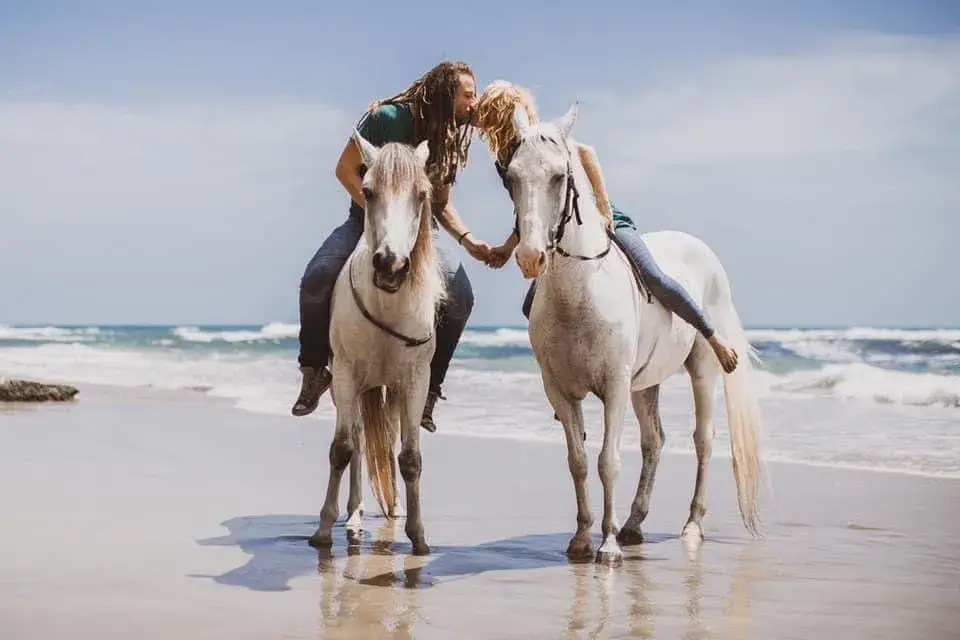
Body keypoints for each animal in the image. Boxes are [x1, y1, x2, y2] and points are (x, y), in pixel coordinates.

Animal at [307, 129, 446, 556]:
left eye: (422, 193)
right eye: (367, 191)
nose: (391, 265)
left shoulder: (414, 383)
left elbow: (411, 458)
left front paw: (419, 537)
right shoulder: (347, 377)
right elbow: (341, 450)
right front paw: (323, 530)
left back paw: (394, 510)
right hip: (347, 389)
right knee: (355, 444)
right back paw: (351, 516)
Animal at [503, 102, 763, 567]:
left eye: (559, 176)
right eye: (511, 176)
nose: (530, 257)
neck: (581, 292)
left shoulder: (615, 385)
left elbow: (607, 461)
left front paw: (606, 548)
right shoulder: (559, 390)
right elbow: (578, 462)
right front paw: (582, 540)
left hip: (699, 372)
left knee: (702, 440)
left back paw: (691, 526)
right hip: (646, 385)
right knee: (654, 442)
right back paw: (633, 525)